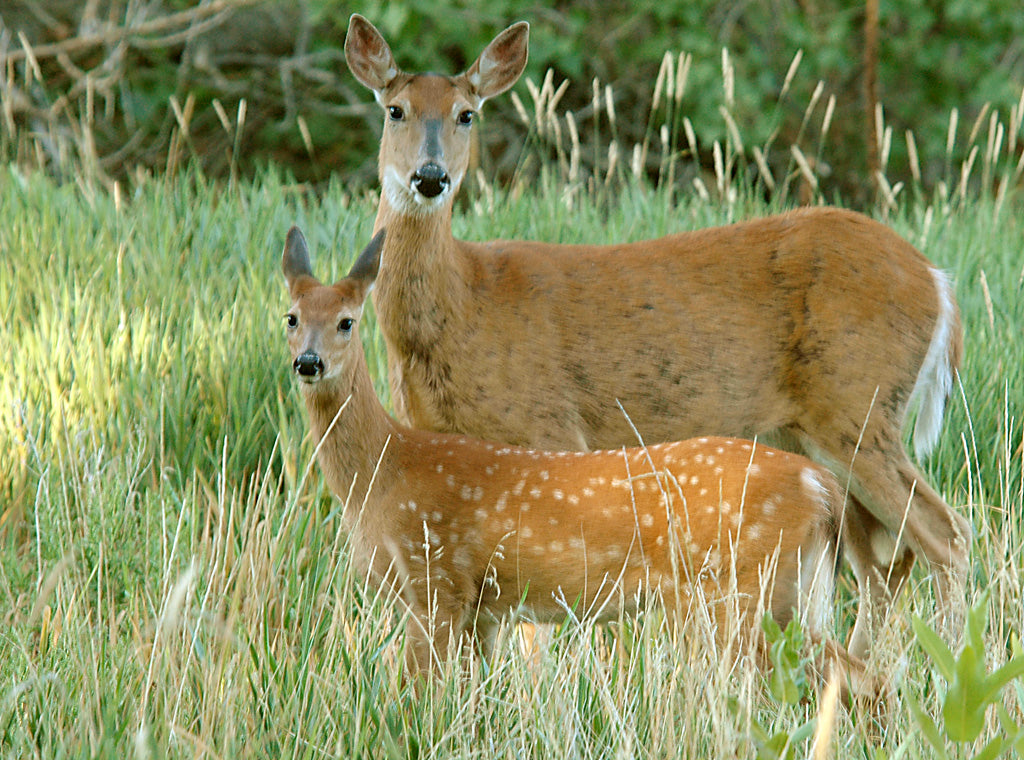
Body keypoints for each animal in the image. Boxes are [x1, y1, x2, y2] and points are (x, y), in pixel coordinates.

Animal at [281, 225, 877, 699]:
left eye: (347, 321)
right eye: (291, 317)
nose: (308, 362)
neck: (383, 472)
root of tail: (820, 484)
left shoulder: (437, 581)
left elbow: (417, 695)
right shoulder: (481, 607)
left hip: (745, 589)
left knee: (850, 677)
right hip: (793, 593)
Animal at [343, 14, 970, 660]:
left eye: (467, 113)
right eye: (395, 109)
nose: (430, 177)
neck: (462, 305)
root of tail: (939, 283)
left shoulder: (550, 430)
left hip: (858, 407)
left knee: (946, 534)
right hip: (817, 432)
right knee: (883, 558)